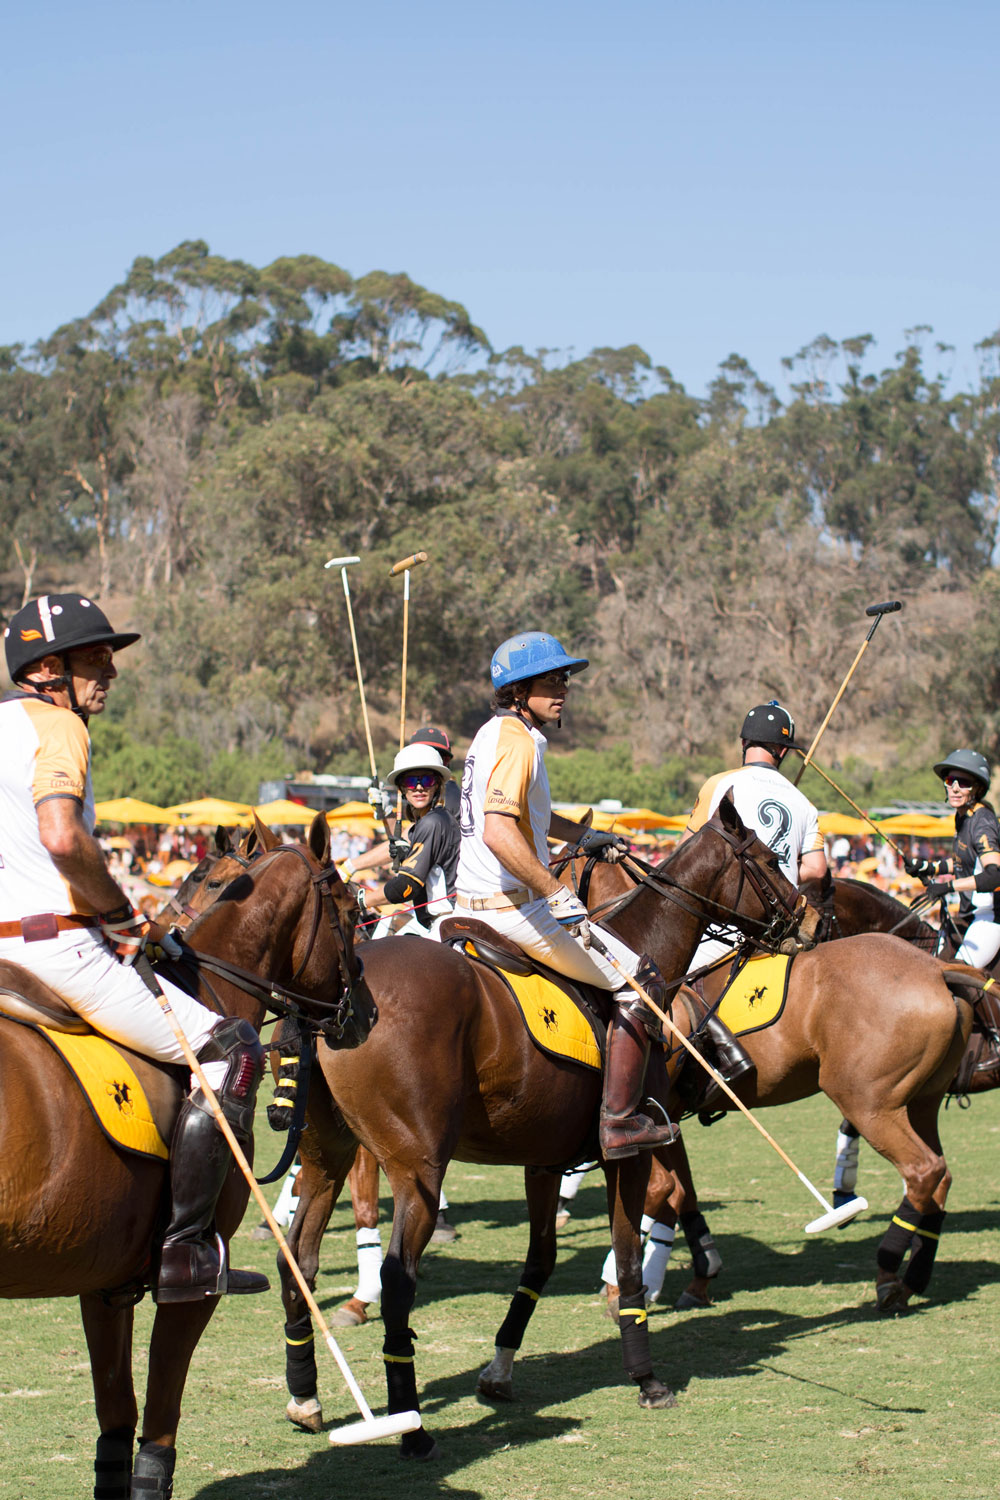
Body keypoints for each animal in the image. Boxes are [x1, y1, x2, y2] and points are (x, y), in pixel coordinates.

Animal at [0, 816, 373, 1500]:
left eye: (208, 880)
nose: (366, 1012)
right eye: (349, 910)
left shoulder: (105, 1275)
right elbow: (159, 1420)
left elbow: (116, 1422)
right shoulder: (192, 1283)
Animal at [262, 804, 809, 1458]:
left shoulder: (545, 1159)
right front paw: (646, 1377)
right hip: (417, 1166)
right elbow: (627, 1255)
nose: (809, 915)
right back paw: (410, 1427)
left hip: (328, 1151)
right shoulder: (628, 1151)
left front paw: (499, 1371)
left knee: (298, 1257)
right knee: (397, 1277)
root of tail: (335, 1002)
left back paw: (304, 1396)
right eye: (770, 859)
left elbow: (539, 1262)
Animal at [587, 858, 995, 1314]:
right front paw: (699, 1276)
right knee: (941, 1176)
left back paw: (888, 1274)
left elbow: (660, 1193)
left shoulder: (656, 1115)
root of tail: (938, 968)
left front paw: (619, 1283)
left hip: (866, 1102)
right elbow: (682, 1193)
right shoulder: (669, 1117)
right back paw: (912, 1278)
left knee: (924, 1171)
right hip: (920, 1103)